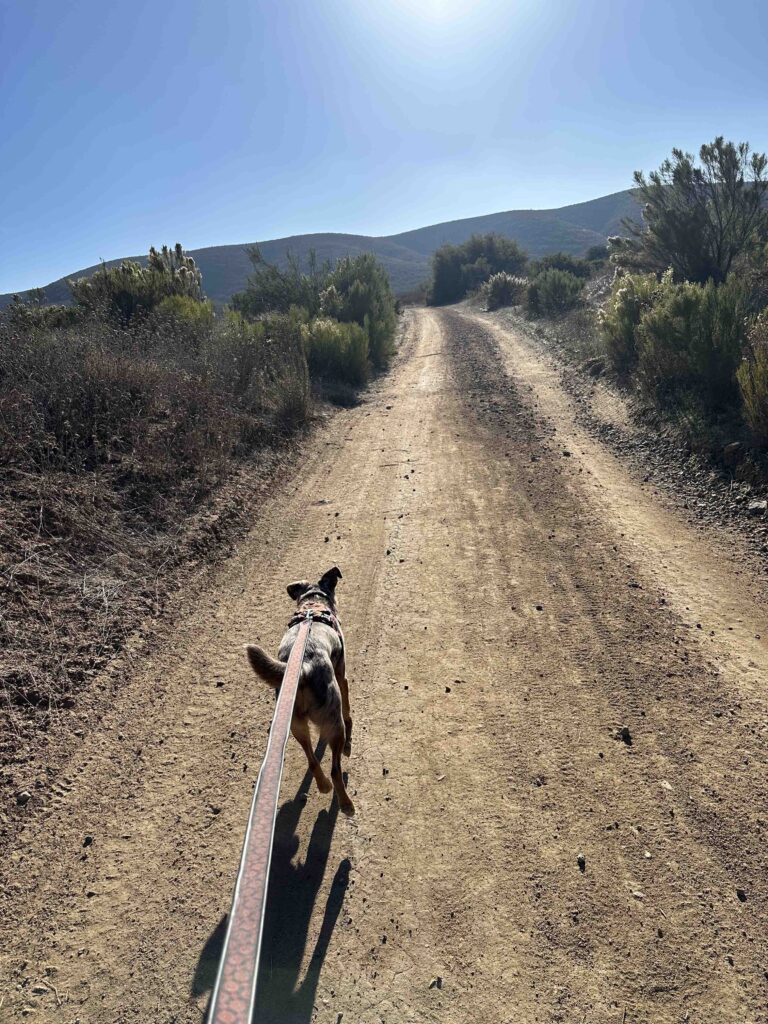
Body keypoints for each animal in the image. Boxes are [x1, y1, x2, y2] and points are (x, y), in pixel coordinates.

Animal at [246, 569, 354, 815]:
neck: (312, 604)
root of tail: (304, 667)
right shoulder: (342, 677)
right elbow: (348, 711)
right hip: (333, 722)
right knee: (335, 769)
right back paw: (345, 803)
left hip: (295, 726)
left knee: (312, 760)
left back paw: (323, 786)